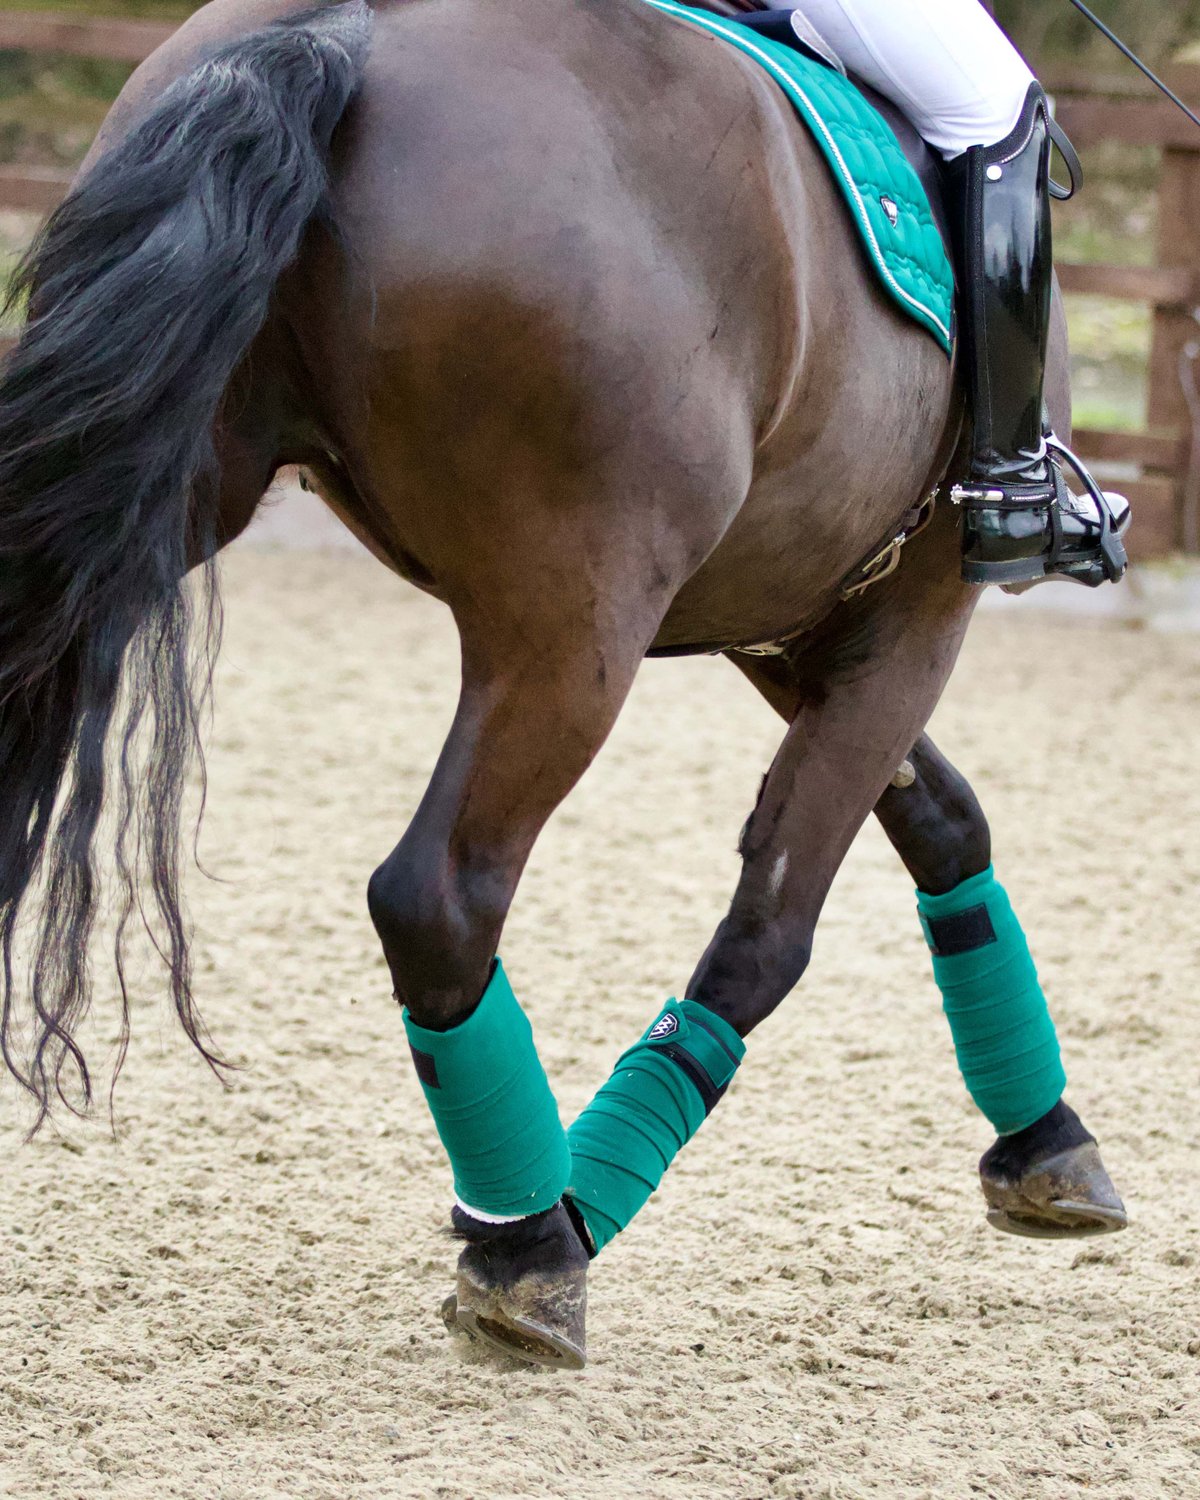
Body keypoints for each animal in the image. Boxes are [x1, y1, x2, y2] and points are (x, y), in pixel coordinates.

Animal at [0, 0, 1124, 1366]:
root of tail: (347, 33)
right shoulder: (917, 608)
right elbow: (771, 930)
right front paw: (577, 1205)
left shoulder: (790, 614)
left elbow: (944, 822)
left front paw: (1048, 1141)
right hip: (573, 620)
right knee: (439, 895)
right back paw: (529, 1241)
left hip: (177, 491)